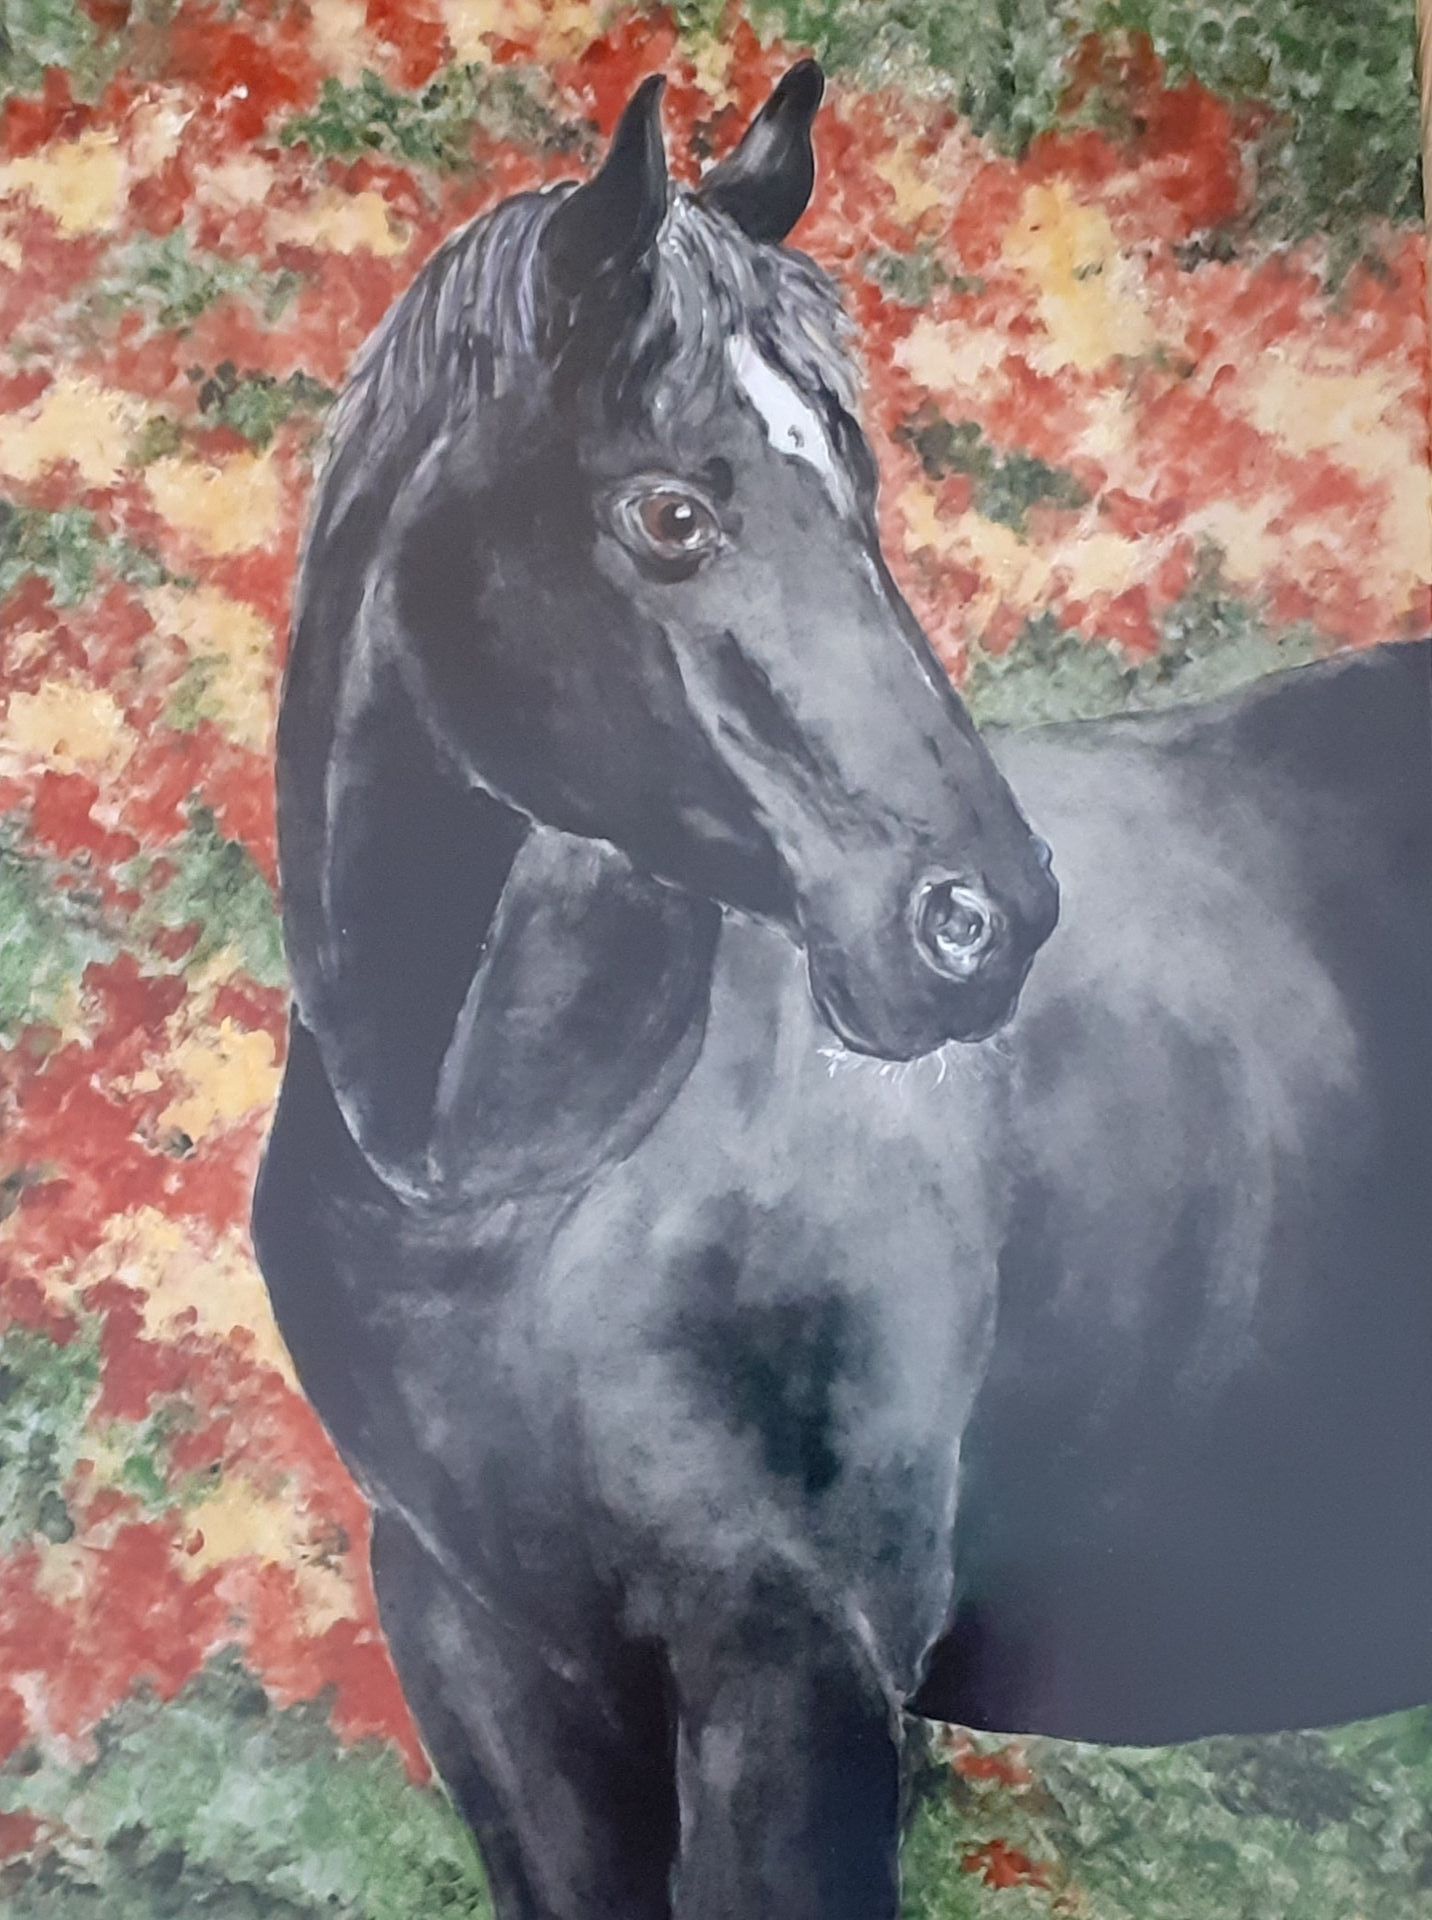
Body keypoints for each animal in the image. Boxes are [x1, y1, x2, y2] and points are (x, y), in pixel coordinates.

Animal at [252, 64, 1432, 1920]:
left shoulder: (796, 1673)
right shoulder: (488, 1659)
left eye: (858, 488)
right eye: (672, 511)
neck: (512, 1188)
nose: (978, 921)